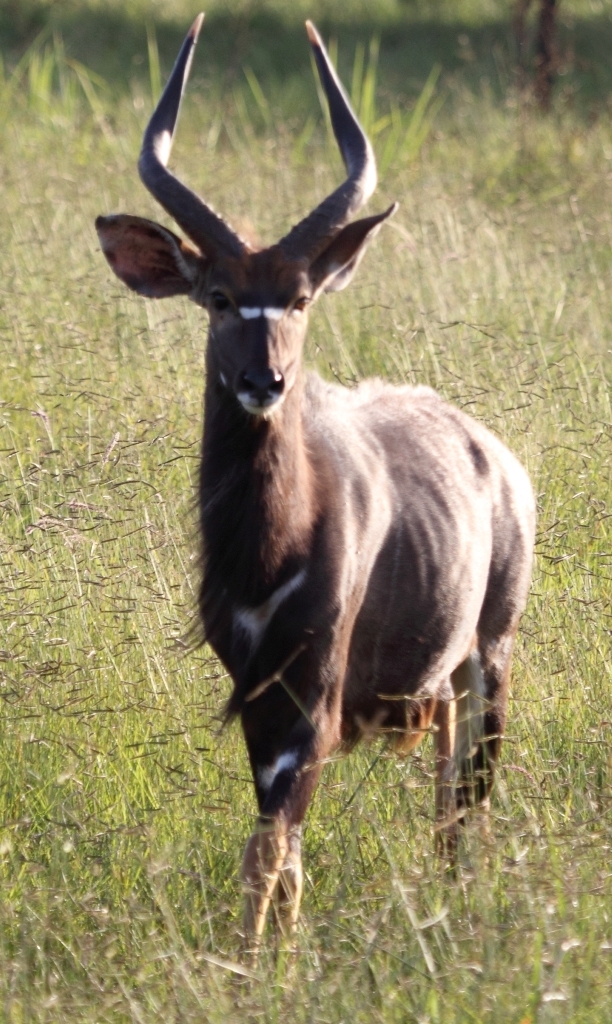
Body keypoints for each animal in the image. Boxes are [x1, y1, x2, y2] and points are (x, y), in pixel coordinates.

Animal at [96, 14, 536, 950]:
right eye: (219, 297)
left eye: (298, 299)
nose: (264, 381)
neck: (270, 553)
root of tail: (498, 459)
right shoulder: (259, 696)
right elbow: (283, 854)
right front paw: (276, 955)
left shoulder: (314, 696)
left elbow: (269, 850)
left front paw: (252, 965)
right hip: (440, 680)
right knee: (446, 792)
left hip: (494, 651)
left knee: (473, 795)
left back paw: (467, 904)